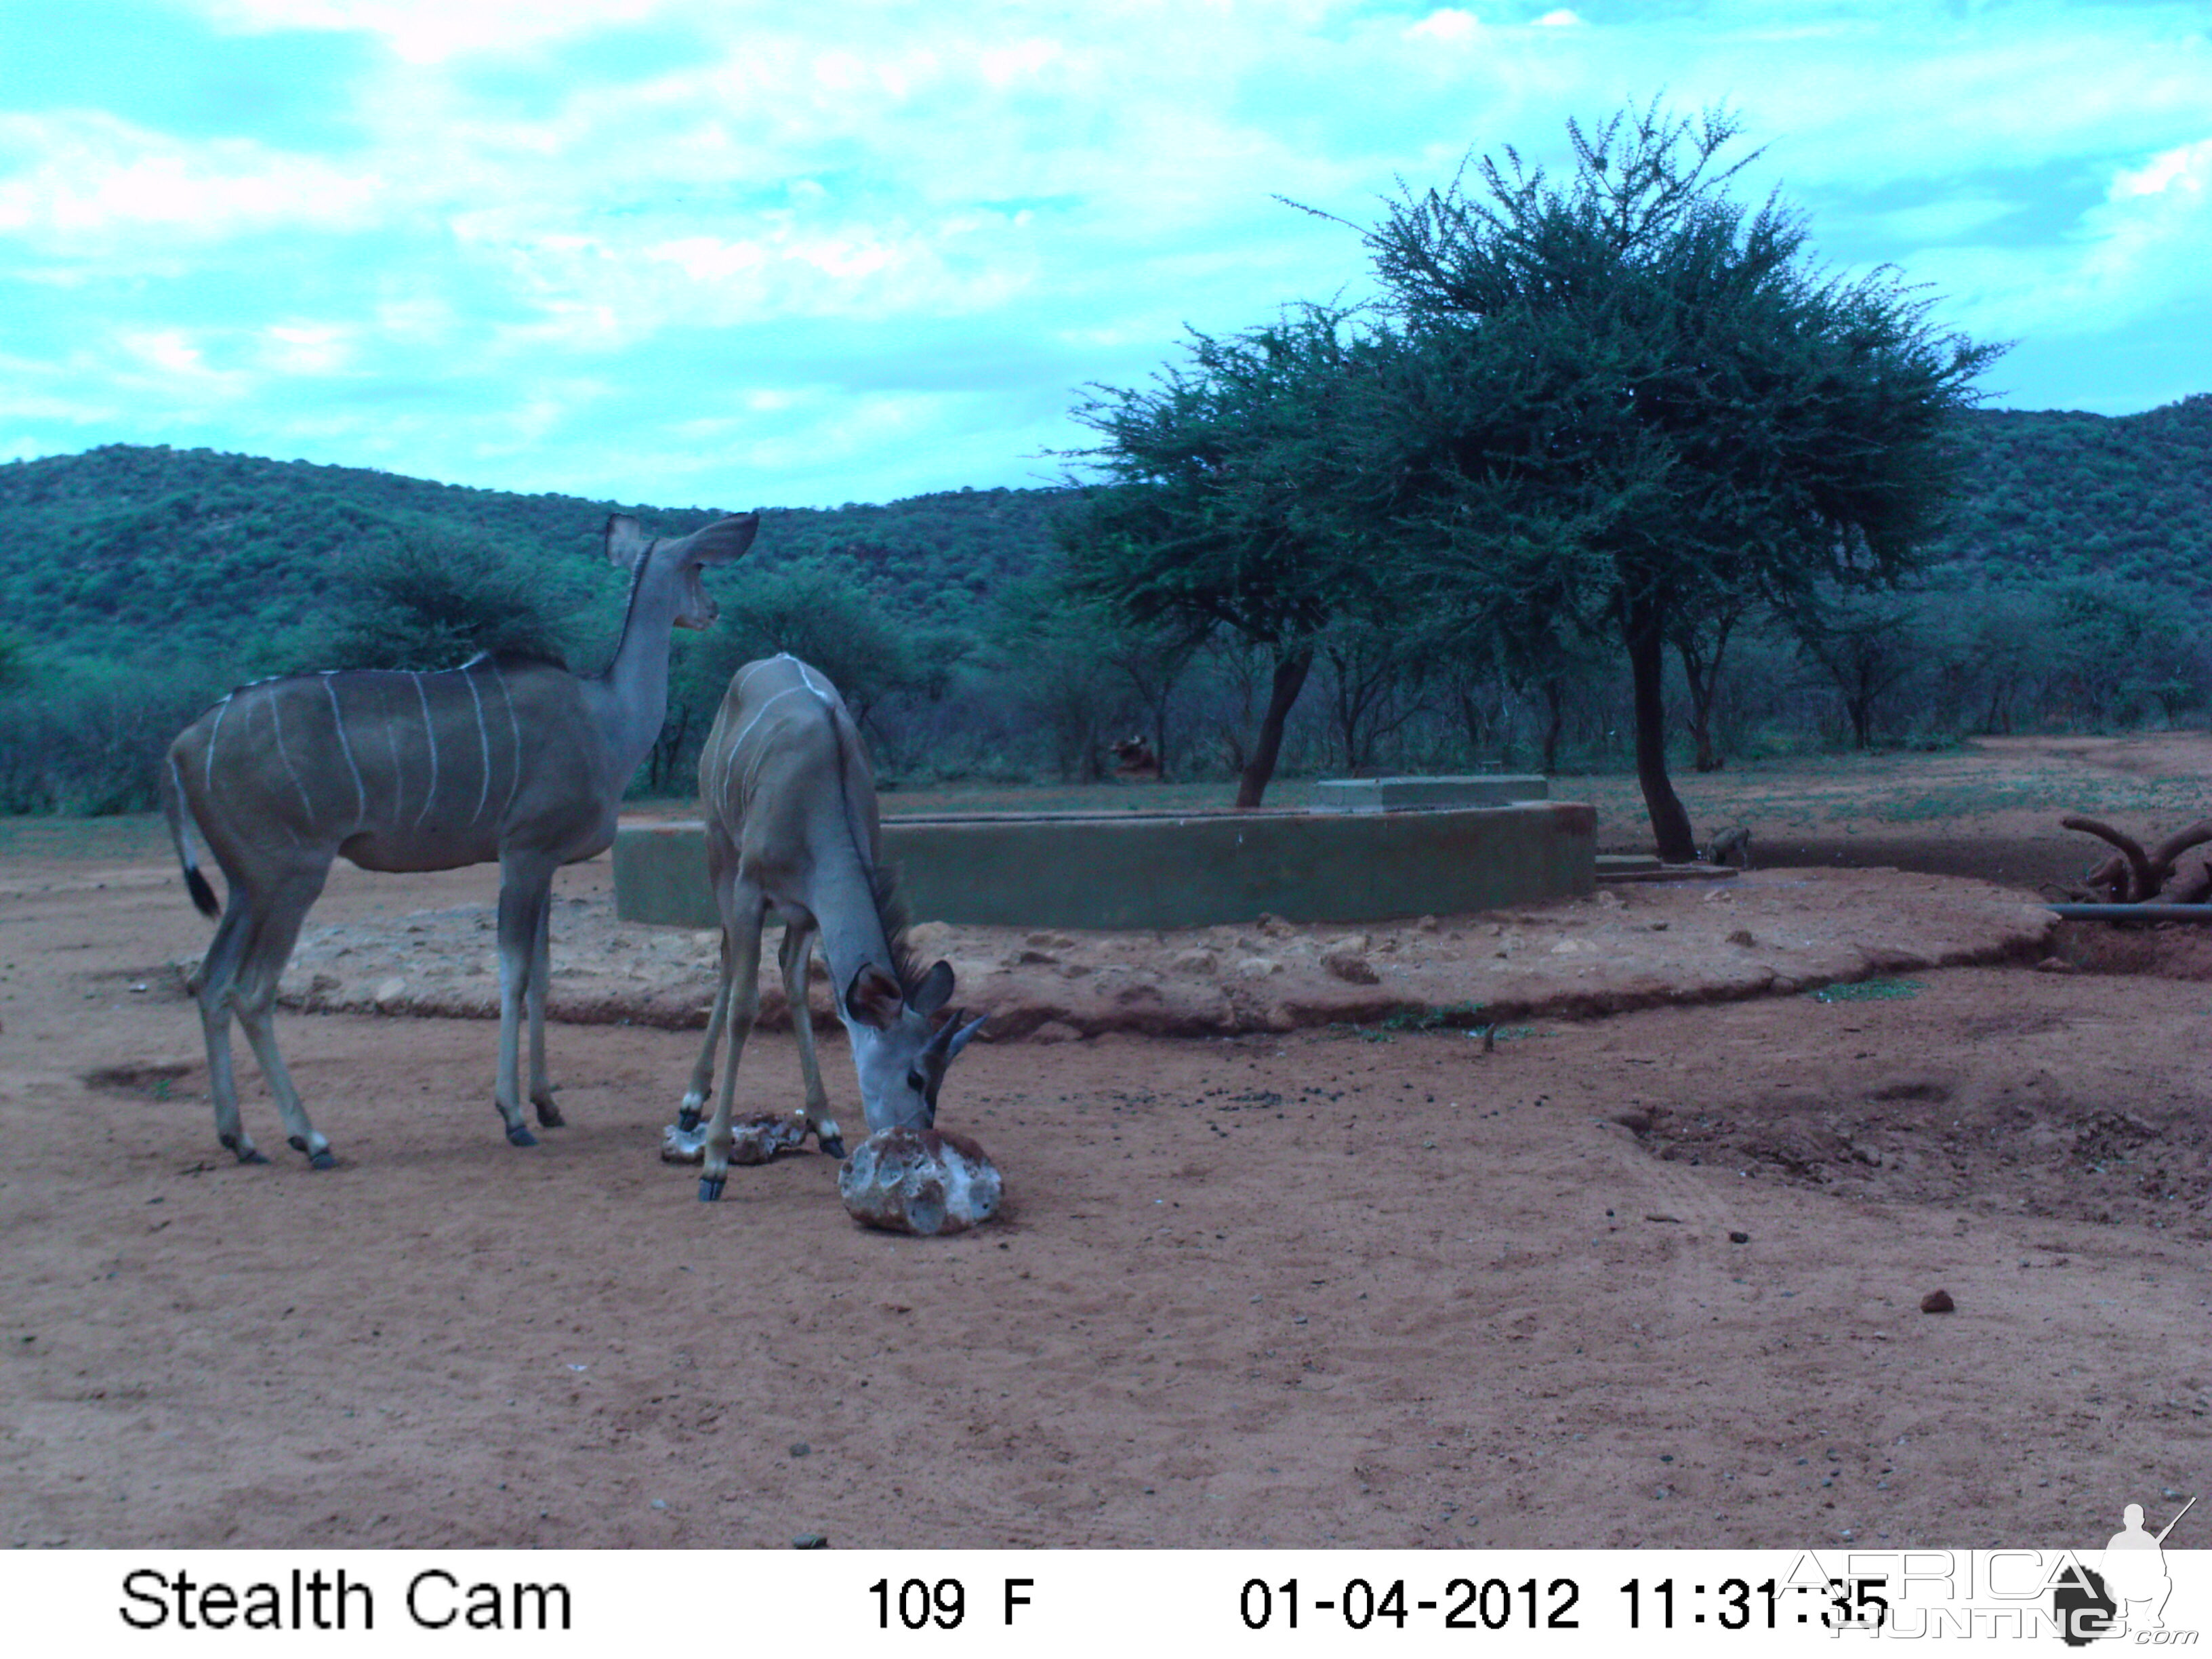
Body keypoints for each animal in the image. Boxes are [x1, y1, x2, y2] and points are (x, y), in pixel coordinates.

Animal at [160, 513, 756, 1159]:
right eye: (698, 566)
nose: (714, 609)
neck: (606, 716)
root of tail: (181, 746)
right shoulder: (523, 852)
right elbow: (512, 972)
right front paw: (513, 1115)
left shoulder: (544, 862)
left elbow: (542, 973)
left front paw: (548, 1104)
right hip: (292, 877)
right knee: (251, 991)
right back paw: (311, 1138)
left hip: (249, 886)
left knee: (210, 982)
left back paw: (239, 1137)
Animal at [668, 655, 991, 1212]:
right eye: (915, 1075)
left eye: (945, 1074)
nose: (917, 1135)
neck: (818, 795)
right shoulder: (752, 889)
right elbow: (746, 1008)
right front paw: (715, 1165)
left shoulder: (810, 909)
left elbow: (805, 990)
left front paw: (826, 1125)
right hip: (718, 845)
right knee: (729, 961)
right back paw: (692, 1103)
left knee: (782, 973)